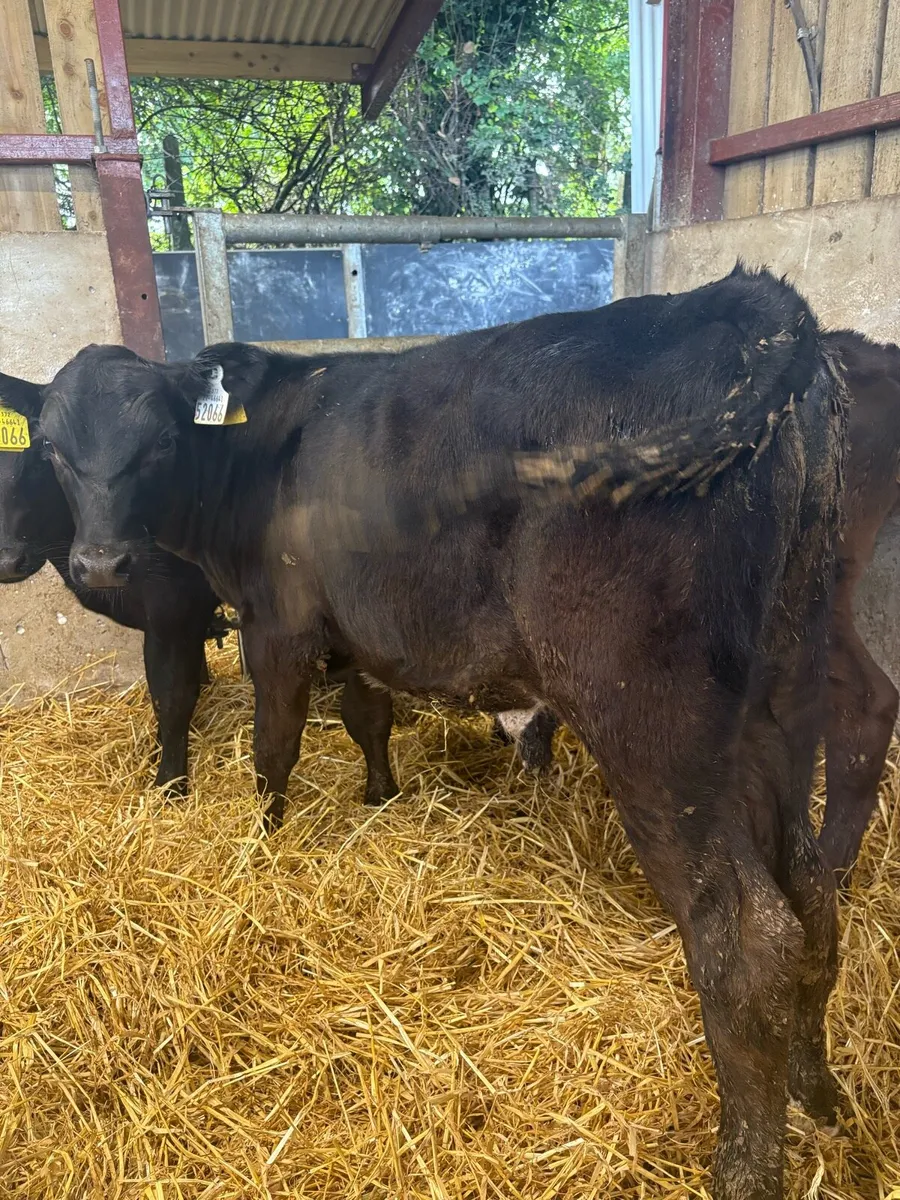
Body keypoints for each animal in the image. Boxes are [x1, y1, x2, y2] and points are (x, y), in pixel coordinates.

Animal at [39, 266, 846, 1200]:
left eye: (159, 442)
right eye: (52, 447)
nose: (98, 564)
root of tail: (745, 303)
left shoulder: (277, 625)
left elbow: (275, 744)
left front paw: (264, 841)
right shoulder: (354, 630)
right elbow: (366, 716)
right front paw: (379, 798)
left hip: (656, 728)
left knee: (748, 937)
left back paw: (746, 1164)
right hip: (782, 696)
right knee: (813, 893)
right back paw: (818, 1093)